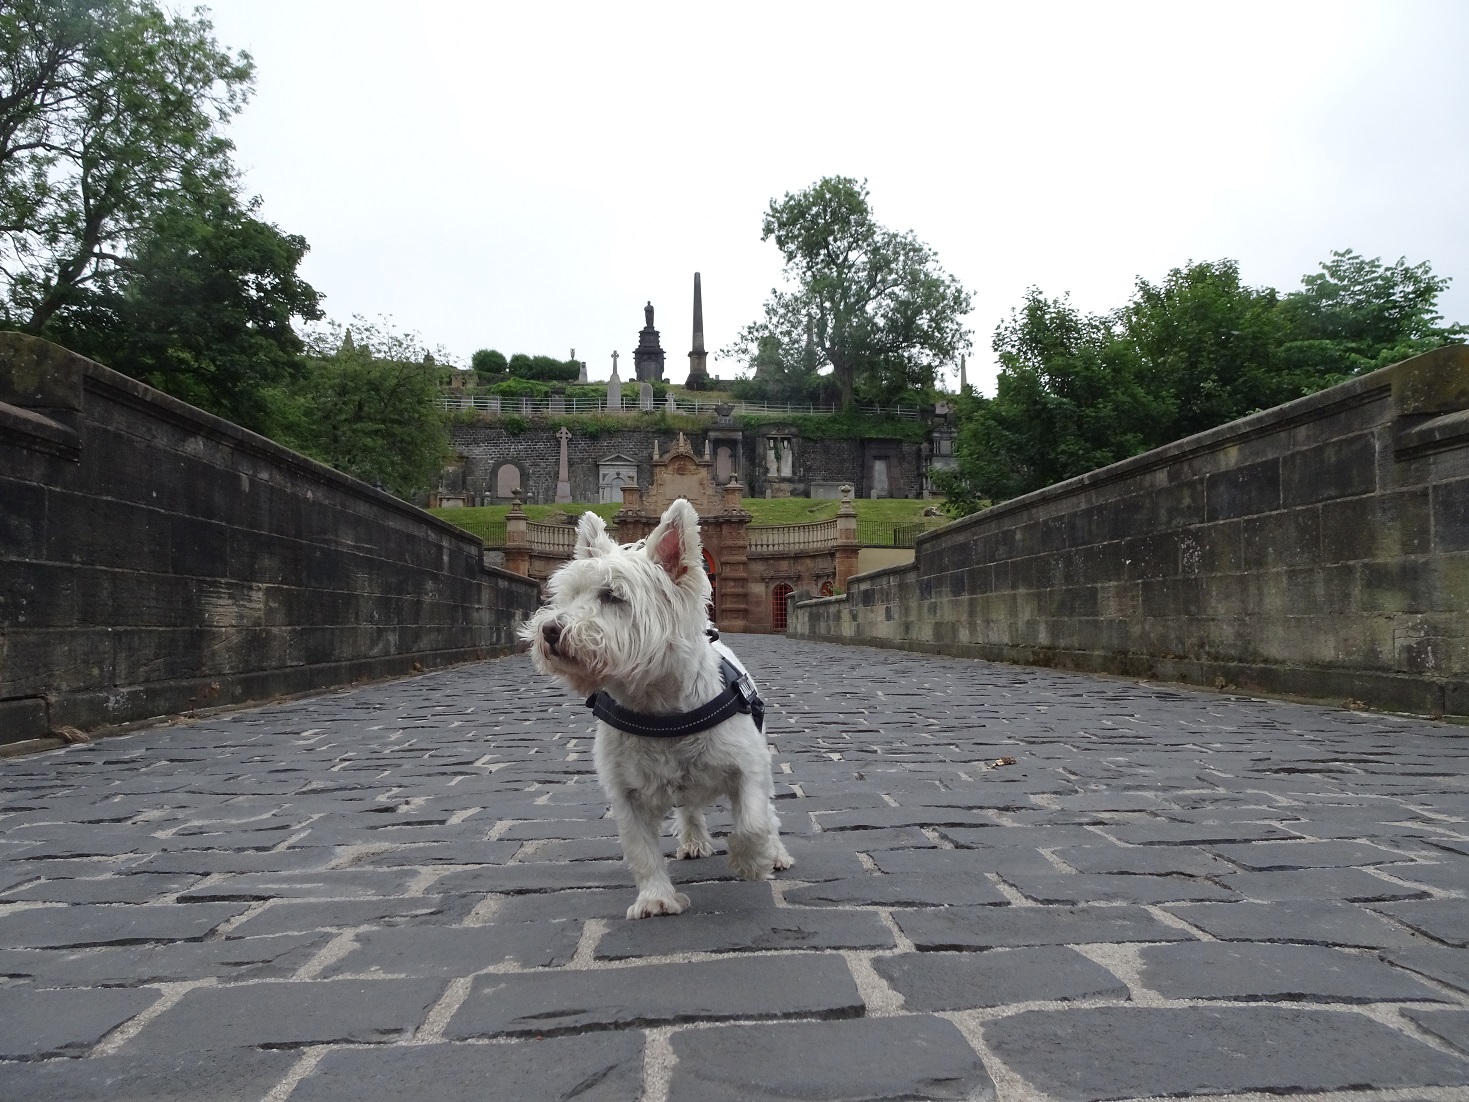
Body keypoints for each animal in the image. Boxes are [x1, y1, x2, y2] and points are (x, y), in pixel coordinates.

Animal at [525, 496, 793, 916]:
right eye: (566, 596)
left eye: (612, 596)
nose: (550, 629)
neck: (658, 709)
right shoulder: (626, 793)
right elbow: (641, 850)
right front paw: (656, 899)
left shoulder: (748, 765)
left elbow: (752, 821)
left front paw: (752, 861)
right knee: (690, 809)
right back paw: (694, 841)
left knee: (767, 811)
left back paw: (776, 853)